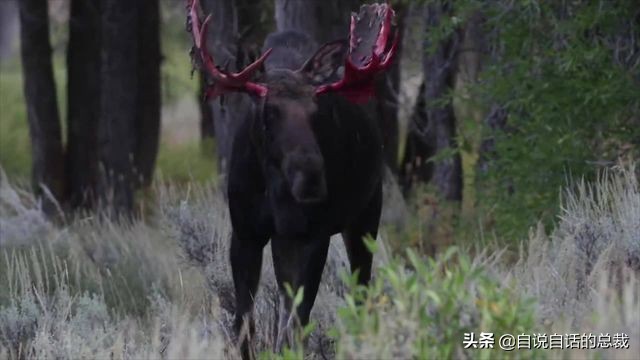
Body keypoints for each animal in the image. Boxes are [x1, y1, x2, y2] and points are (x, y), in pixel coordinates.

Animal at [184, 0, 396, 354]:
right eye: (269, 111)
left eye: (317, 110)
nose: (311, 178)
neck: (273, 192)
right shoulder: (245, 233)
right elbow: (244, 323)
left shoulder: (314, 234)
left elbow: (296, 325)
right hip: (285, 240)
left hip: (366, 215)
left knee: (360, 292)